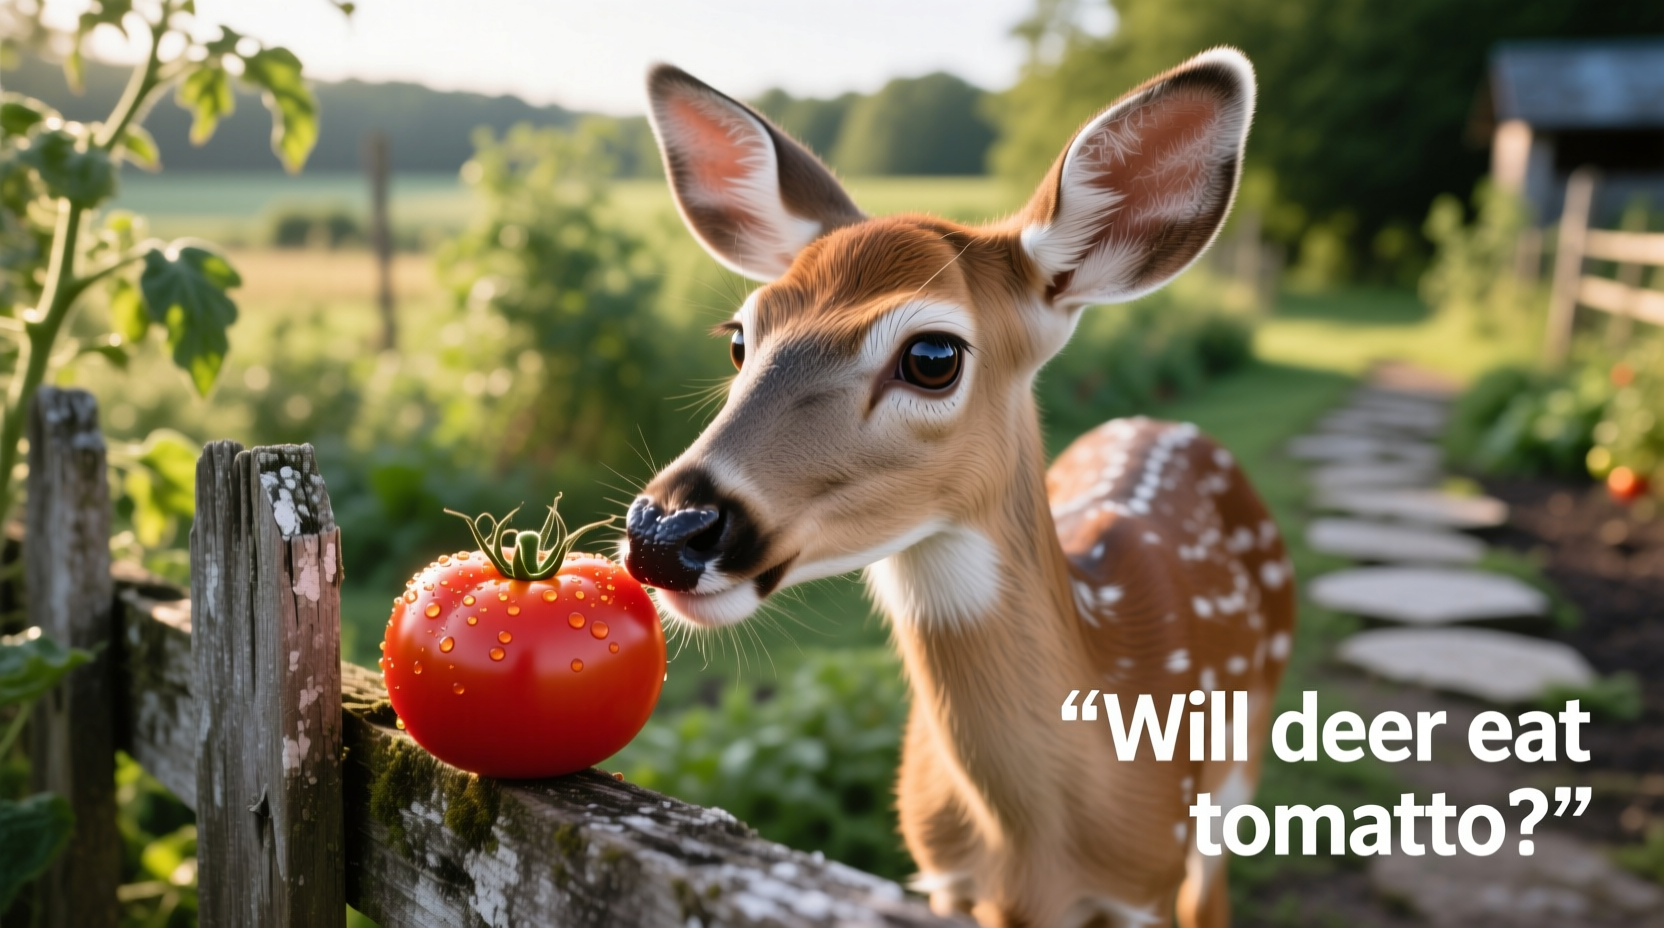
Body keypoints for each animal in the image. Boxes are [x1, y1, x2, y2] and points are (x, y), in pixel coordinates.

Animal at [621, 47, 1296, 928]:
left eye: (933, 356)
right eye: (740, 337)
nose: (667, 531)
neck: (1032, 852)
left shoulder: (1146, 878)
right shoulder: (942, 877)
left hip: (1240, 756)